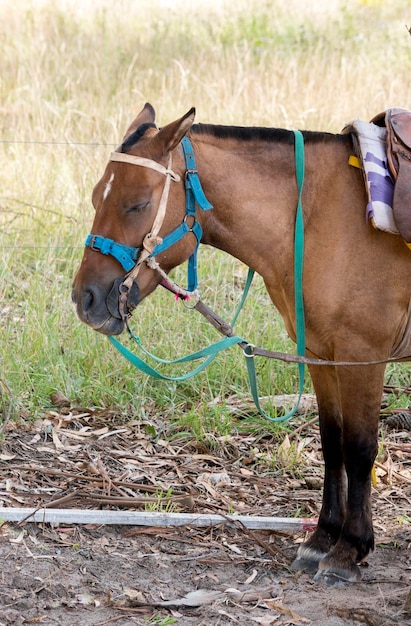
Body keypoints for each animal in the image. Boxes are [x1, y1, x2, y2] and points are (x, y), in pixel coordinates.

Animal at [71, 103, 411, 584]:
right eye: (96, 197)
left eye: (137, 204)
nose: (85, 298)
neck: (318, 216)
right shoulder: (321, 355)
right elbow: (332, 443)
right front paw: (322, 538)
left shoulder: (362, 357)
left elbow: (360, 449)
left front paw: (349, 550)